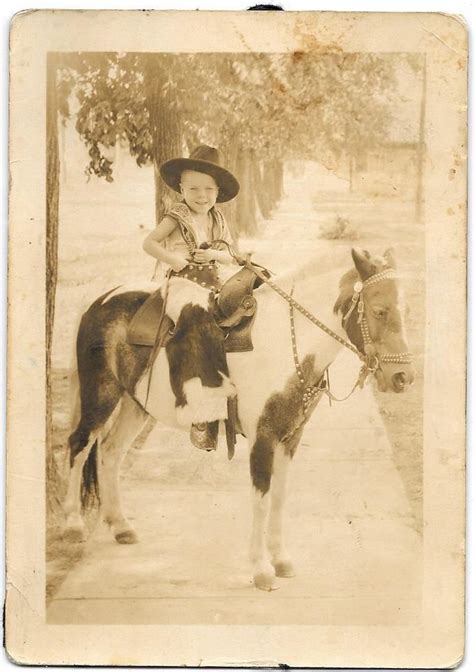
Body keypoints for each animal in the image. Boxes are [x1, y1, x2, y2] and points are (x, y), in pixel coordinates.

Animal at [64, 247, 414, 588]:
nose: (402, 378)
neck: (283, 342)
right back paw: (73, 525)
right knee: (79, 445)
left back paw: (120, 525)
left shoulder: (290, 437)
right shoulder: (263, 437)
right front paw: (261, 569)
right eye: (379, 310)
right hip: (102, 393)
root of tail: (100, 300)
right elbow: (261, 498)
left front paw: (281, 559)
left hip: (136, 403)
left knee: (111, 451)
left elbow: (279, 496)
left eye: (405, 310)